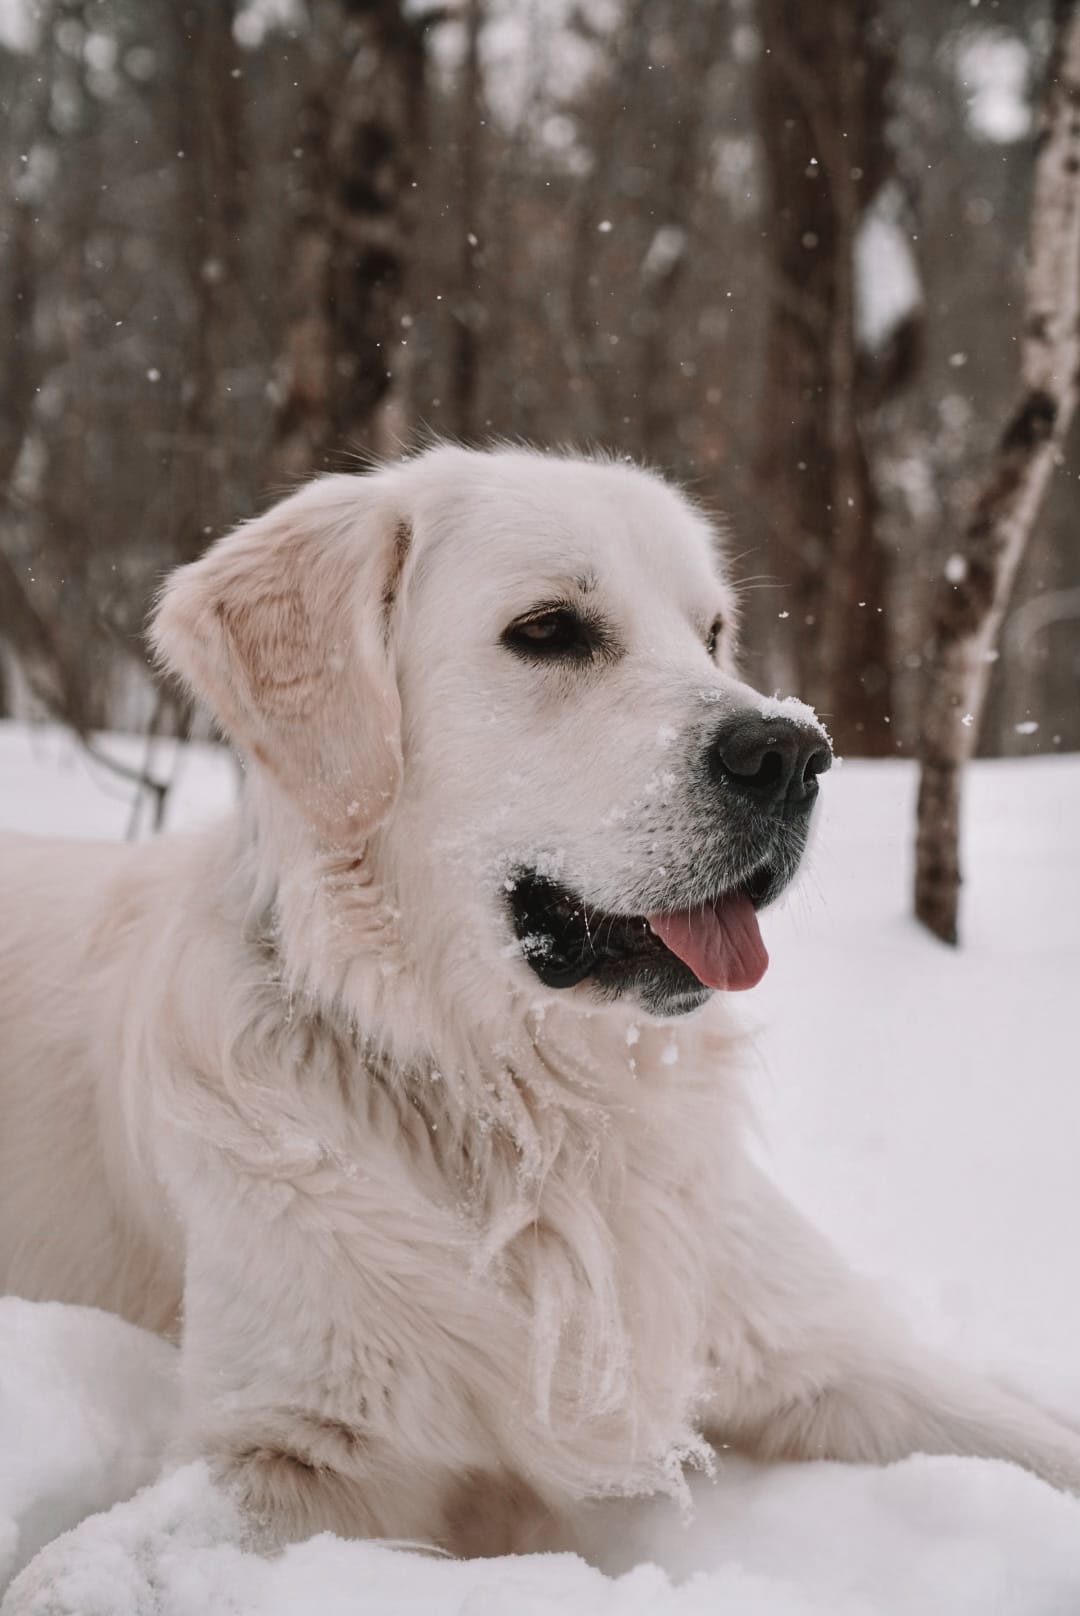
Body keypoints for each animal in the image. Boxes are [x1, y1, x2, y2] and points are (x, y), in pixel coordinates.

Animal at [2, 449, 1080, 1557]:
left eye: (711, 633)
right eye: (550, 630)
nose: (792, 753)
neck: (538, 1104)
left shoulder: (818, 1343)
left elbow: (1029, 1435)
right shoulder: (283, 1440)